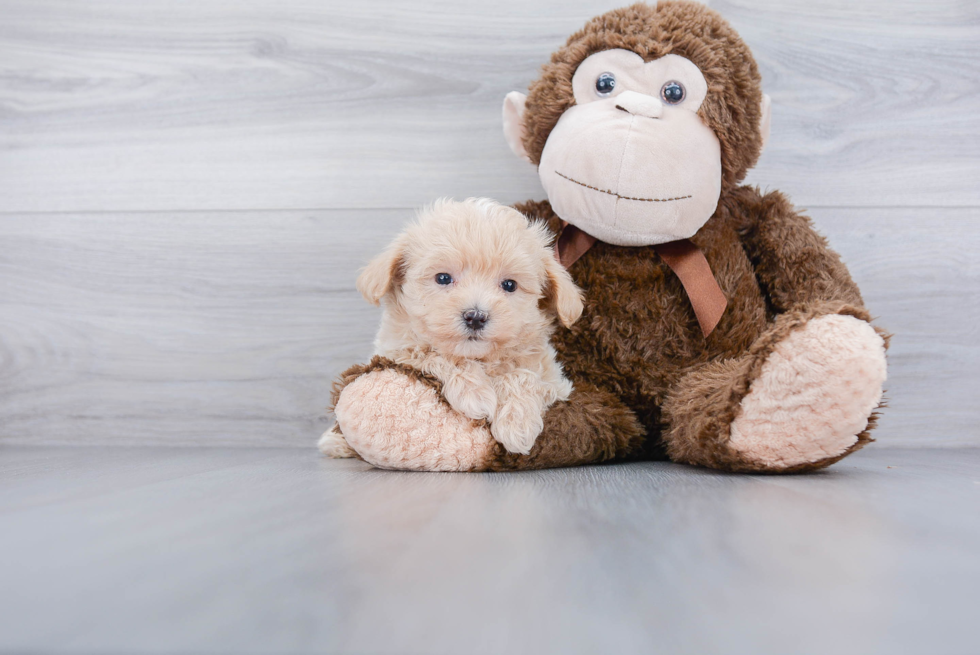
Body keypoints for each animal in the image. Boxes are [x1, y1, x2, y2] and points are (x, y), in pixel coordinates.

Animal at [320, 197, 580, 458]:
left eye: (509, 285)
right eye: (443, 278)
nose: (475, 317)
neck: (481, 359)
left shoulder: (556, 383)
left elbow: (524, 376)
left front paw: (517, 423)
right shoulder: (395, 352)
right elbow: (434, 353)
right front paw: (475, 393)